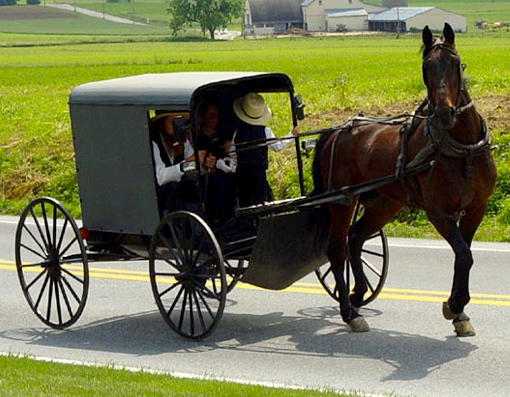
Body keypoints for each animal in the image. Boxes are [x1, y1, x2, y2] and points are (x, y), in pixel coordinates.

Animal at [312, 23, 496, 336]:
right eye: (426, 67)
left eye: (456, 62)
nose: (445, 113)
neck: (462, 149)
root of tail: (337, 130)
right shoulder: (438, 213)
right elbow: (463, 254)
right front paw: (454, 306)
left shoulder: (476, 209)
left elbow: (465, 256)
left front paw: (459, 313)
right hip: (343, 199)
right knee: (337, 249)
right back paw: (350, 312)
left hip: (384, 203)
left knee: (355, 238)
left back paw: (358, 293)